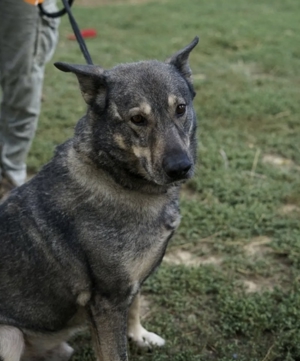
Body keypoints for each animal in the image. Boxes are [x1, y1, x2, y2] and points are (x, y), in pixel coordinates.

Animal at [0, 36, 199, 360]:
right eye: (137, 119)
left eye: (180, 108)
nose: (181, 167)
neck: (116, 178)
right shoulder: (108, 301)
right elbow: (115, 352)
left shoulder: (128, 288)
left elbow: (136, 304)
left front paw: (139, 335)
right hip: (10, 335)